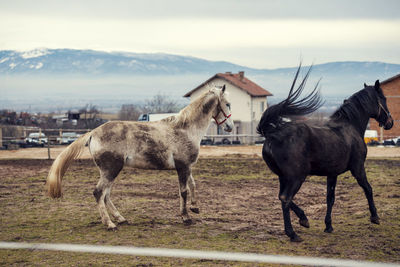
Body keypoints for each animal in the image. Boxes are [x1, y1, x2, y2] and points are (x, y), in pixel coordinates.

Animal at [47, 86, 233, 230]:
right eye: (228, 104)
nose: (230, 127)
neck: (185, 129)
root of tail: (93, 133)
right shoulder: (183, 166)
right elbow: (184, 191)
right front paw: (186, 217)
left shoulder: (186, 166)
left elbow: (193, 185)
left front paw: (195, 208)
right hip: (111, 169)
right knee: (99, 193)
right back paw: (110, 224)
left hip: (110, 171)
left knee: (106, 195)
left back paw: (121, 218)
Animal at [258, 66, 392, 243]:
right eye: (383, 98)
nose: (390, 122)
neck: (350, 127)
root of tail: (272, 134)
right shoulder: (358, 168)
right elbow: (368, 189)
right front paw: (375, 217)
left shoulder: (332, 173)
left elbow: (330, 197)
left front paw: (328, 226)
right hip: (296, 177)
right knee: (286, 198)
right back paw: (293, 234)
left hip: (283, 177)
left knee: (282, 197)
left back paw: (304, 219)